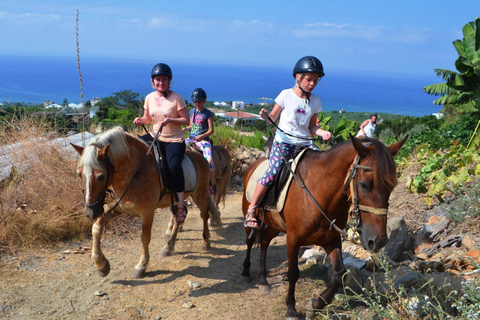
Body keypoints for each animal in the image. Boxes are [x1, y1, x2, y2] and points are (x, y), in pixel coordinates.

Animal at [71, 126, 221, 278]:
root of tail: (201, 157)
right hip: (174, 201)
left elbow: (144, 238)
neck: (133, 172)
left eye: (101, 177)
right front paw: (101, 265)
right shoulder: (114, 209)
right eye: (79, 174)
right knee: (177, 219)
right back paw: (168, 247)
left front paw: (141, 266)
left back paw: (205, 241)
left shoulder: (147, 213)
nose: (90, 212)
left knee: (204, 215)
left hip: (199, 195)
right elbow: (96, 229)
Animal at [242, 136, 406, 320]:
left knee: (264, 242)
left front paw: (316, 304)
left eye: (392, 186)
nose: (378, 241)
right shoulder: (292, 239)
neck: (318, 191)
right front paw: (291, 309)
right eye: (364, 185)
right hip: (252, 217)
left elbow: (340, 273)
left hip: (274, 225)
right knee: (250, 241)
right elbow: (293, 273)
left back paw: (263, 279)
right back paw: (246, 271)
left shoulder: (330, 238)